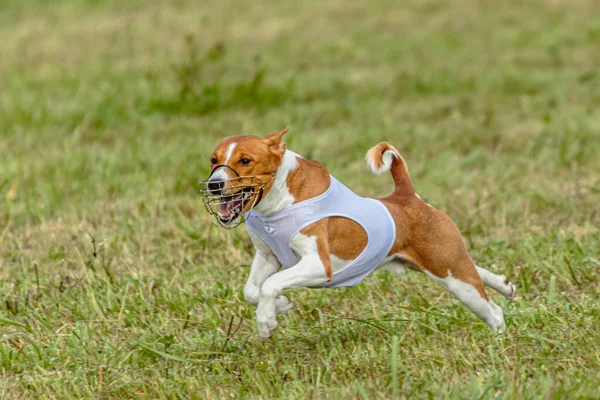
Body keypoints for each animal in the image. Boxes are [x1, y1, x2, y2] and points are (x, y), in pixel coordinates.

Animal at [202, 127, 516, 338]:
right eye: (213, 160)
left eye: (245, 160)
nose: (214, 185)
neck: (279, 203)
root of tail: (407, 196)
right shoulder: (268, 255)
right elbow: (252, 290)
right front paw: (280, 305)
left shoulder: (320, 265)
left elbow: (270, 284)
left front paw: (266, 320)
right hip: (442, 263)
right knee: (477, 272)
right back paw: (505, 285)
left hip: (453, 277)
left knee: (492, 310)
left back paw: (498, 338)